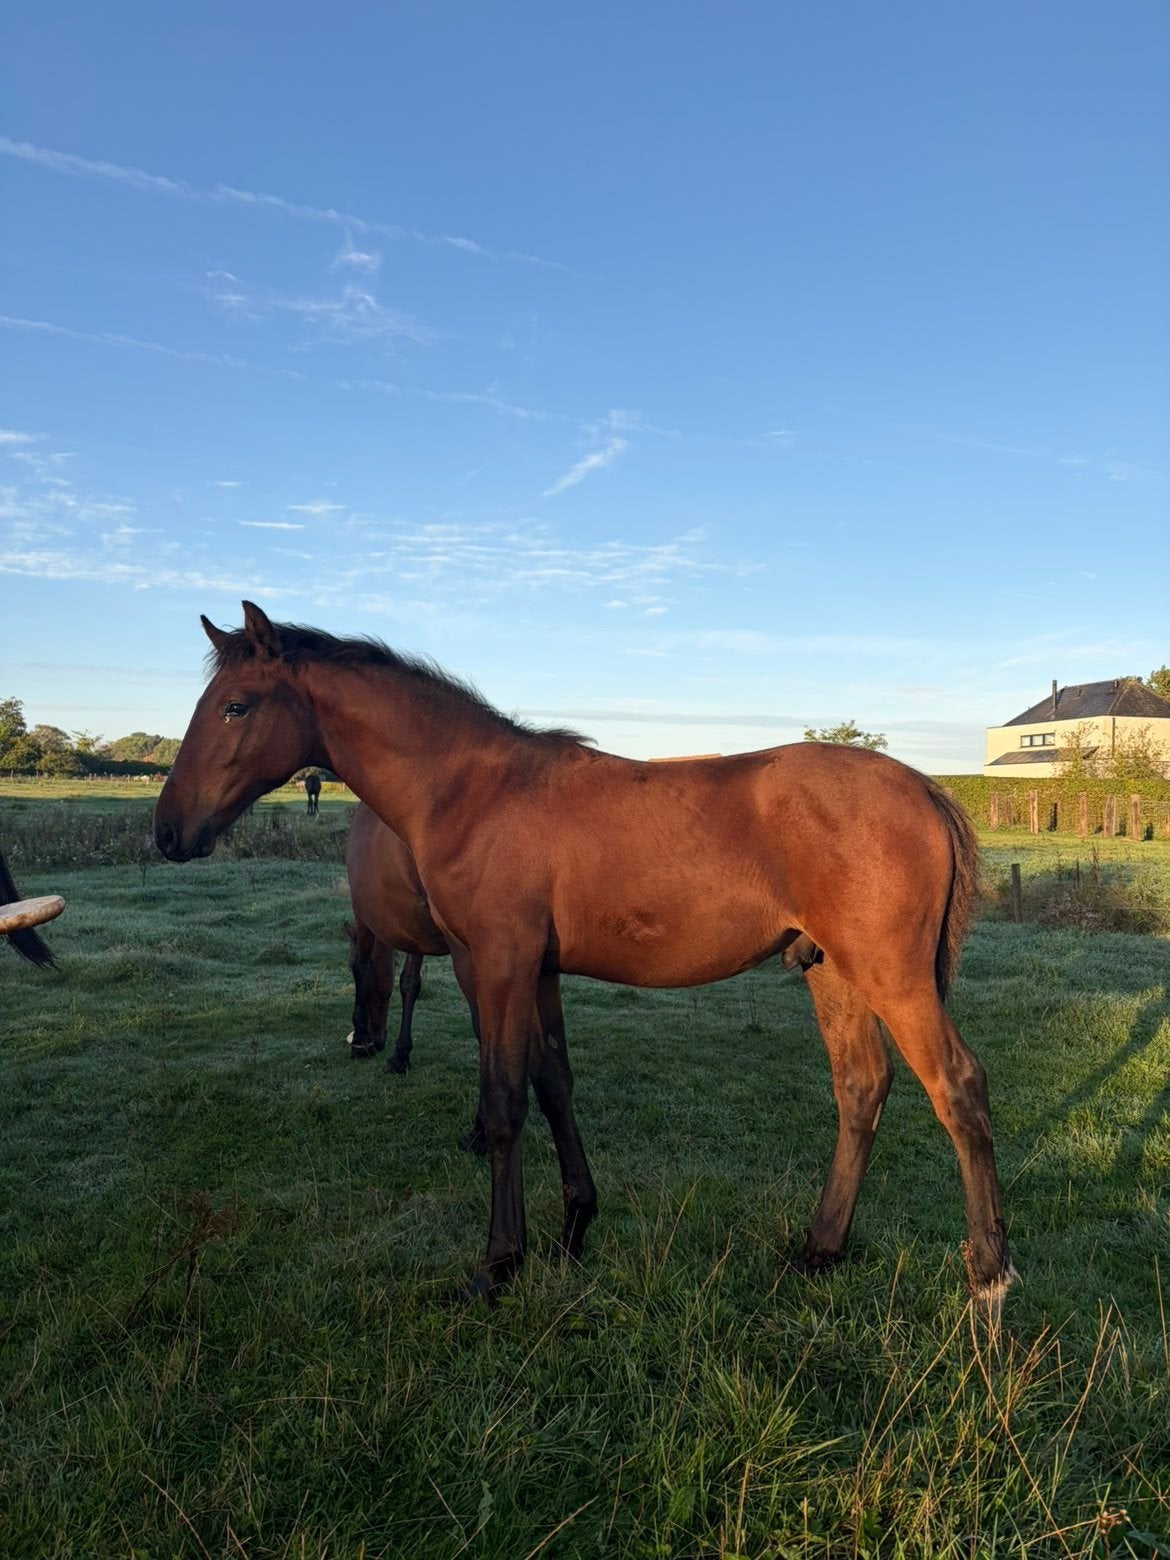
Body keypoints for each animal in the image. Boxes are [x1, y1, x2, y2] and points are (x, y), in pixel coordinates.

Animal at [154, 602, 1016, 1314]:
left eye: (236, 705)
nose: (167, 831)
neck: (472, 792)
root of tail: (927, 789)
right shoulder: (537, 972)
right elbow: (554, 1086)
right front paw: (573, 1230)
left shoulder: (495, 963)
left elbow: (504, 1103)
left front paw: (498, 1265)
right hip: (830, 970)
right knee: (861, 1087)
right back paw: (817, 1250)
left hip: (891, 976)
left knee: (957, 1087)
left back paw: (989, 1278)